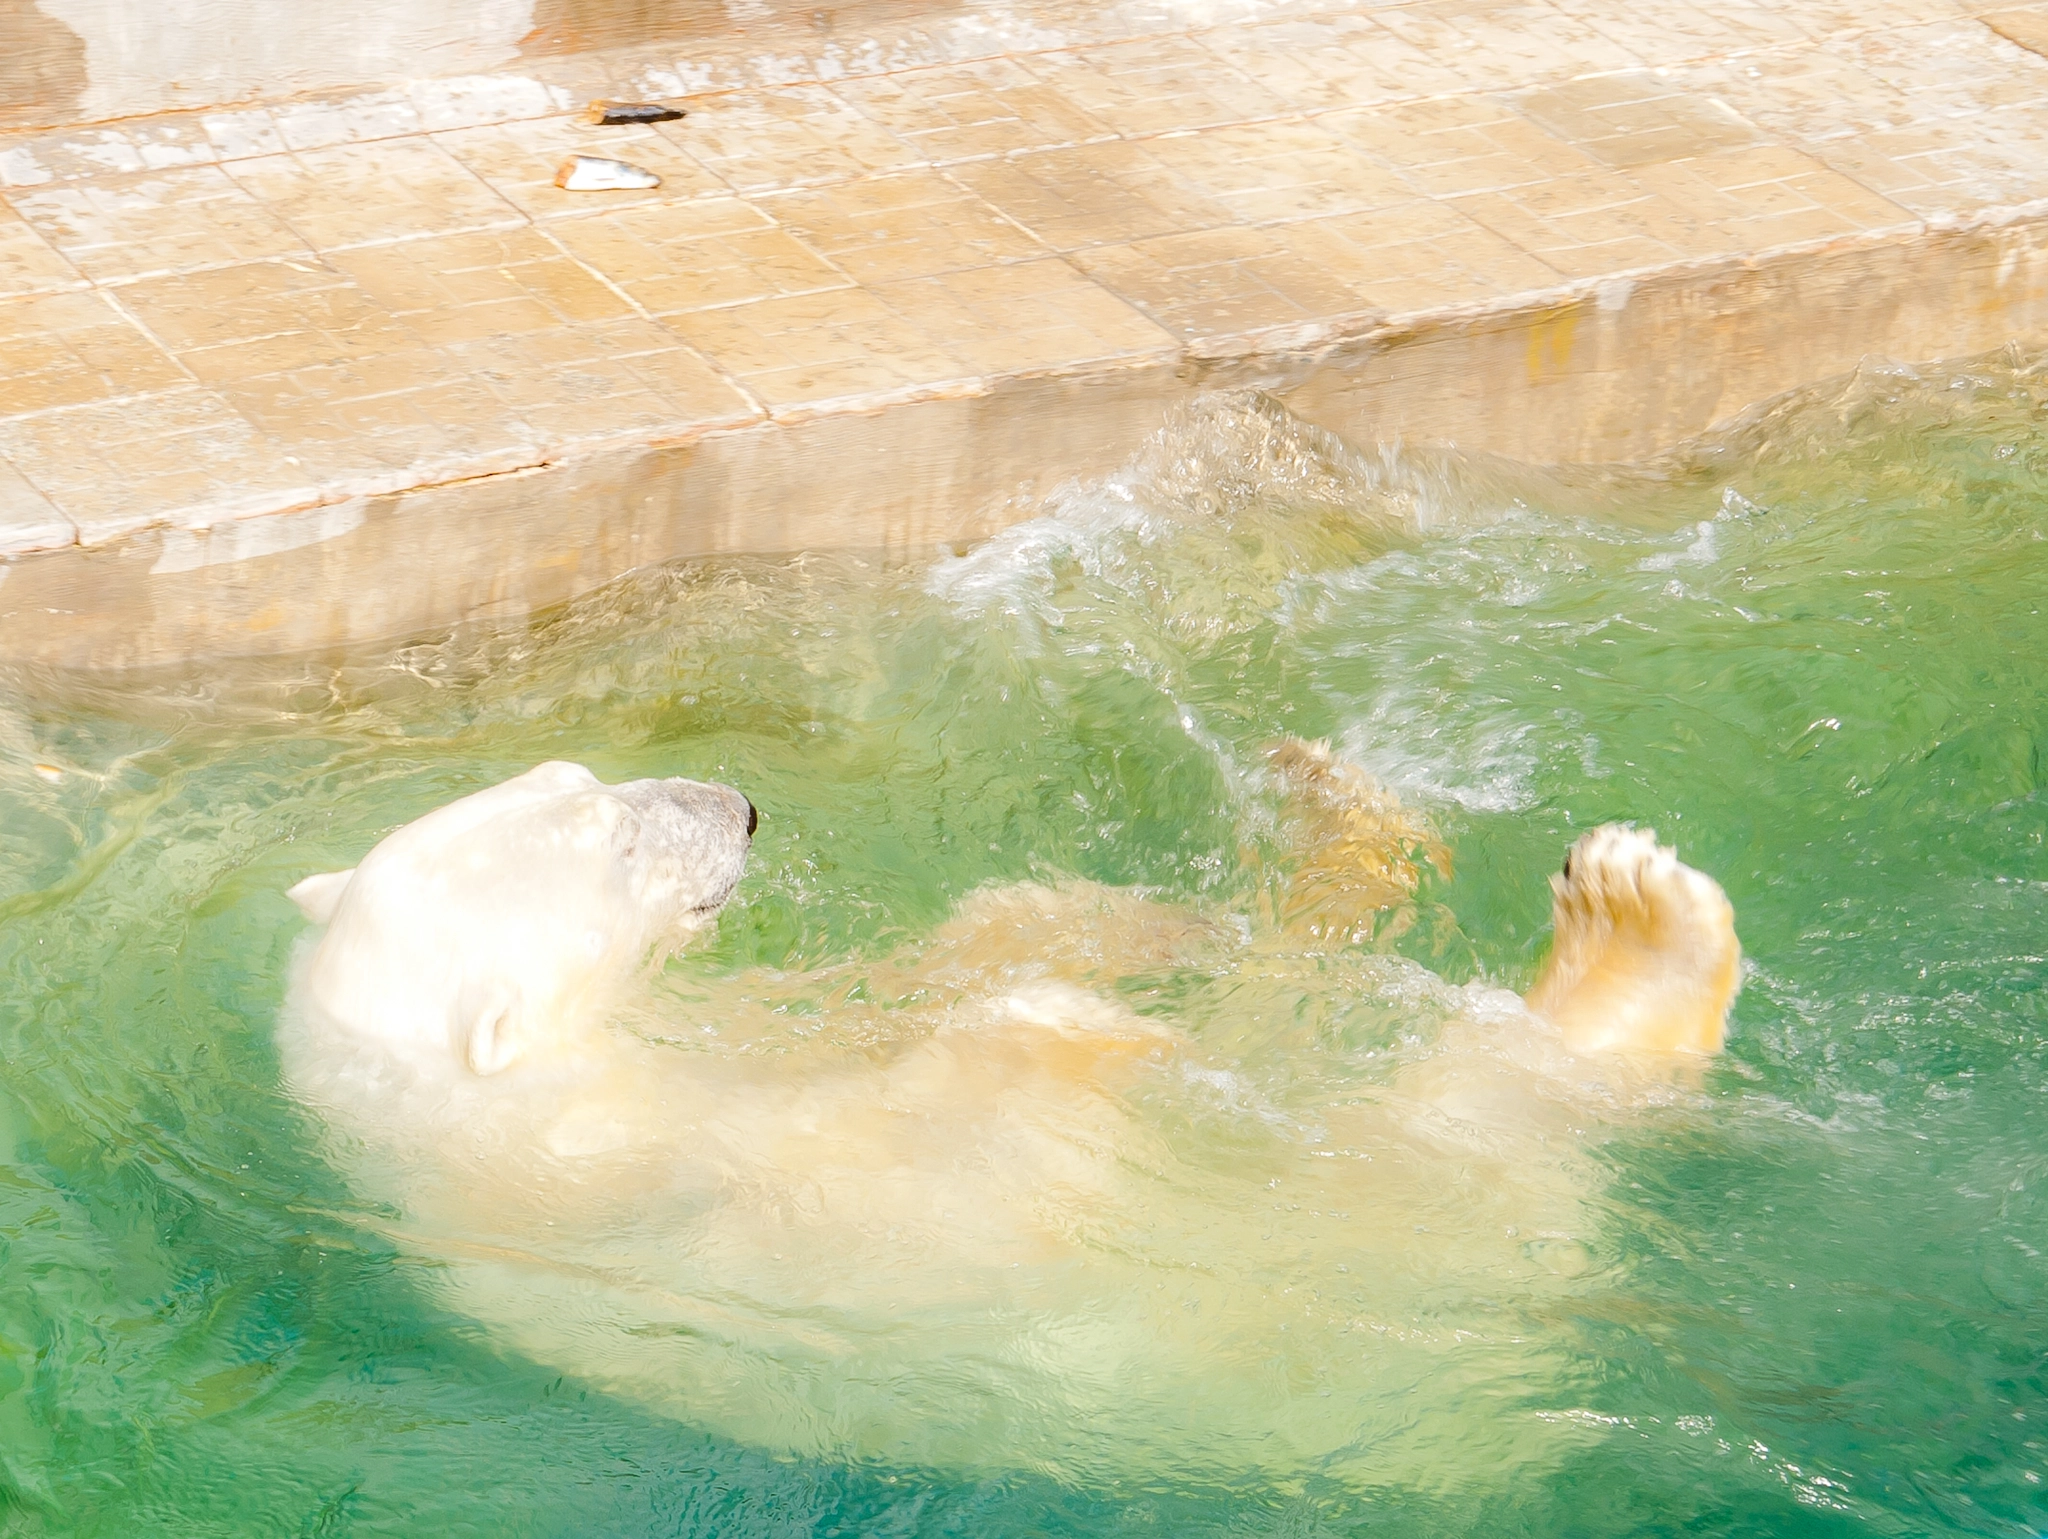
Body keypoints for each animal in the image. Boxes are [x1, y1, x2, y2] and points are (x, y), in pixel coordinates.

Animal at [278, 749, 1740, 1489]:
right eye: (617, 845)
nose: (739, 806)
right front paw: (1081, 1028)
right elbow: (954, 1139)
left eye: (578, 774)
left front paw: (1126, 936)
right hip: (1375, 1326)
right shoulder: (656, 1205)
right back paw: (1637, 930)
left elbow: (930, 969)